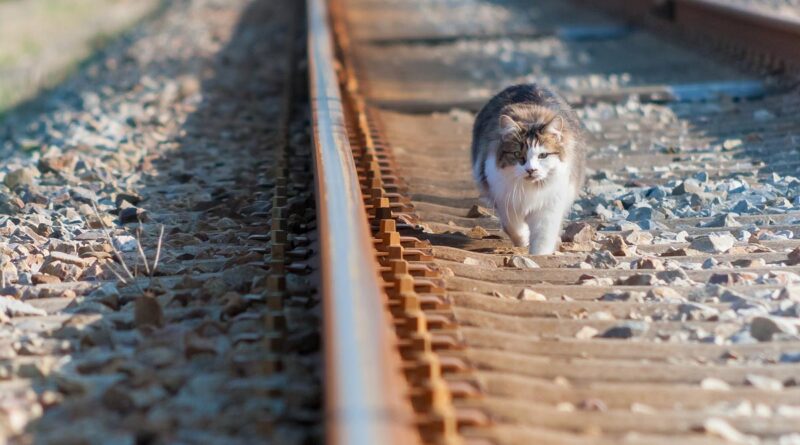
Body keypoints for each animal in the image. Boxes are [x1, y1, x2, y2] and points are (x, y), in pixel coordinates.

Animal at [468, 83, 588, 253]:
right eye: (518, 154)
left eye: (543, 155)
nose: (531, 170)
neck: (530, 189)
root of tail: (528, 84)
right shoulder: (505, 202)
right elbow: (513, 228)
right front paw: (523, 241)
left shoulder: (549, 208)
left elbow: (543, 239)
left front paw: (538, 255)